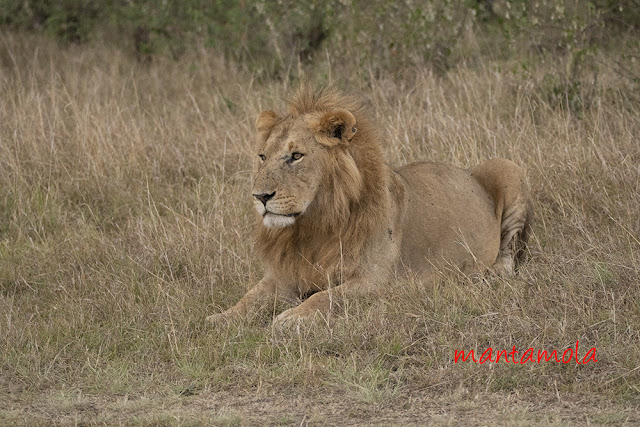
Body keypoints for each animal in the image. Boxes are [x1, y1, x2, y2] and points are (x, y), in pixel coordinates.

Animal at [208, 85, 532, 330]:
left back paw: (486, 274)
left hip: (507, 168)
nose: (259, 196)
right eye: (262, 156)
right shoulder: (285, 274)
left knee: (508, 255)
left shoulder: (376, 282)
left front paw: (290, 318)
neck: (313, 225)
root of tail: (466, 170)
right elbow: (249, 297)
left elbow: (323, 298)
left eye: (296, 155)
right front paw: (220, 318)